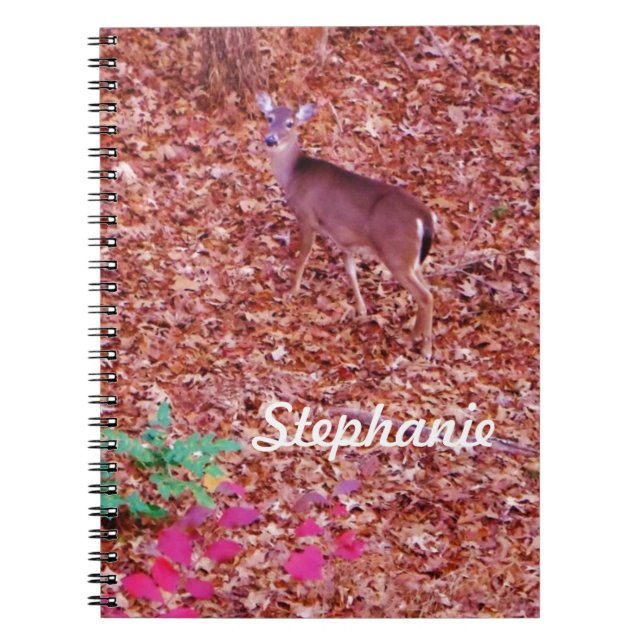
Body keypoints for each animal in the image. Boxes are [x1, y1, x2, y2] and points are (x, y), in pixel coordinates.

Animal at [256, 92, 435, 358]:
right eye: (269, 118)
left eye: (290, 123)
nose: (270, 139)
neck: (293, 175)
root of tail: (425, 217)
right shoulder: (344, 238)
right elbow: (350, 269)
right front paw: (361, 309)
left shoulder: (307, 217)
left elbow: (303, 256)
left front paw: (292, 291)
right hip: (412, 259)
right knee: (429, 289)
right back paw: (419, 338)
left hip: (396, 255)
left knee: (426, 296)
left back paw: (422, 347)